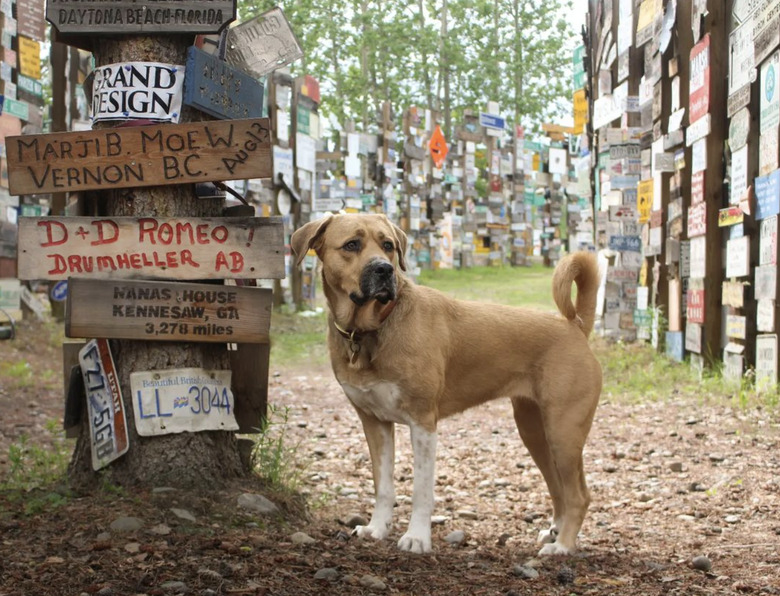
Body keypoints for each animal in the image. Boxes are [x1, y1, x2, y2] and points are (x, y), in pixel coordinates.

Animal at [292, 213, 604, 556]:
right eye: (351, 245)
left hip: (564, 432)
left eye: (387, 245)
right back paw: (556, 532)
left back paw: (563, 546)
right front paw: (376, 529)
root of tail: (575, 327)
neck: (373, 327)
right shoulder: (374, 423)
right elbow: (383, 485)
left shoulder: (423, 423)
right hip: (535, 432)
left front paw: (417, 537)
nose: (385, 270)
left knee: (579, 495)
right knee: (559, 488)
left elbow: (421, 490)